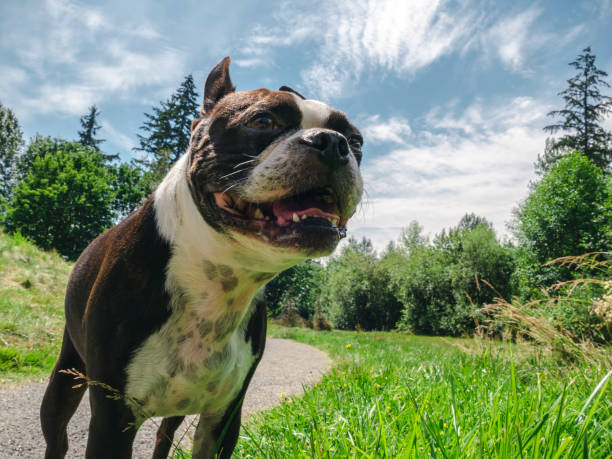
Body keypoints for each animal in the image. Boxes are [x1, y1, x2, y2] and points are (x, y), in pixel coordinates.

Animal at [40, 57, 364, 459]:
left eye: (357, 141)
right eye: (263, 121)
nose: (332, 142)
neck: (217, 279)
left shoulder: (224, 419)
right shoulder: (112, 420)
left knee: (163, 436)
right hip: (66, 378)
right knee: (58, 434)